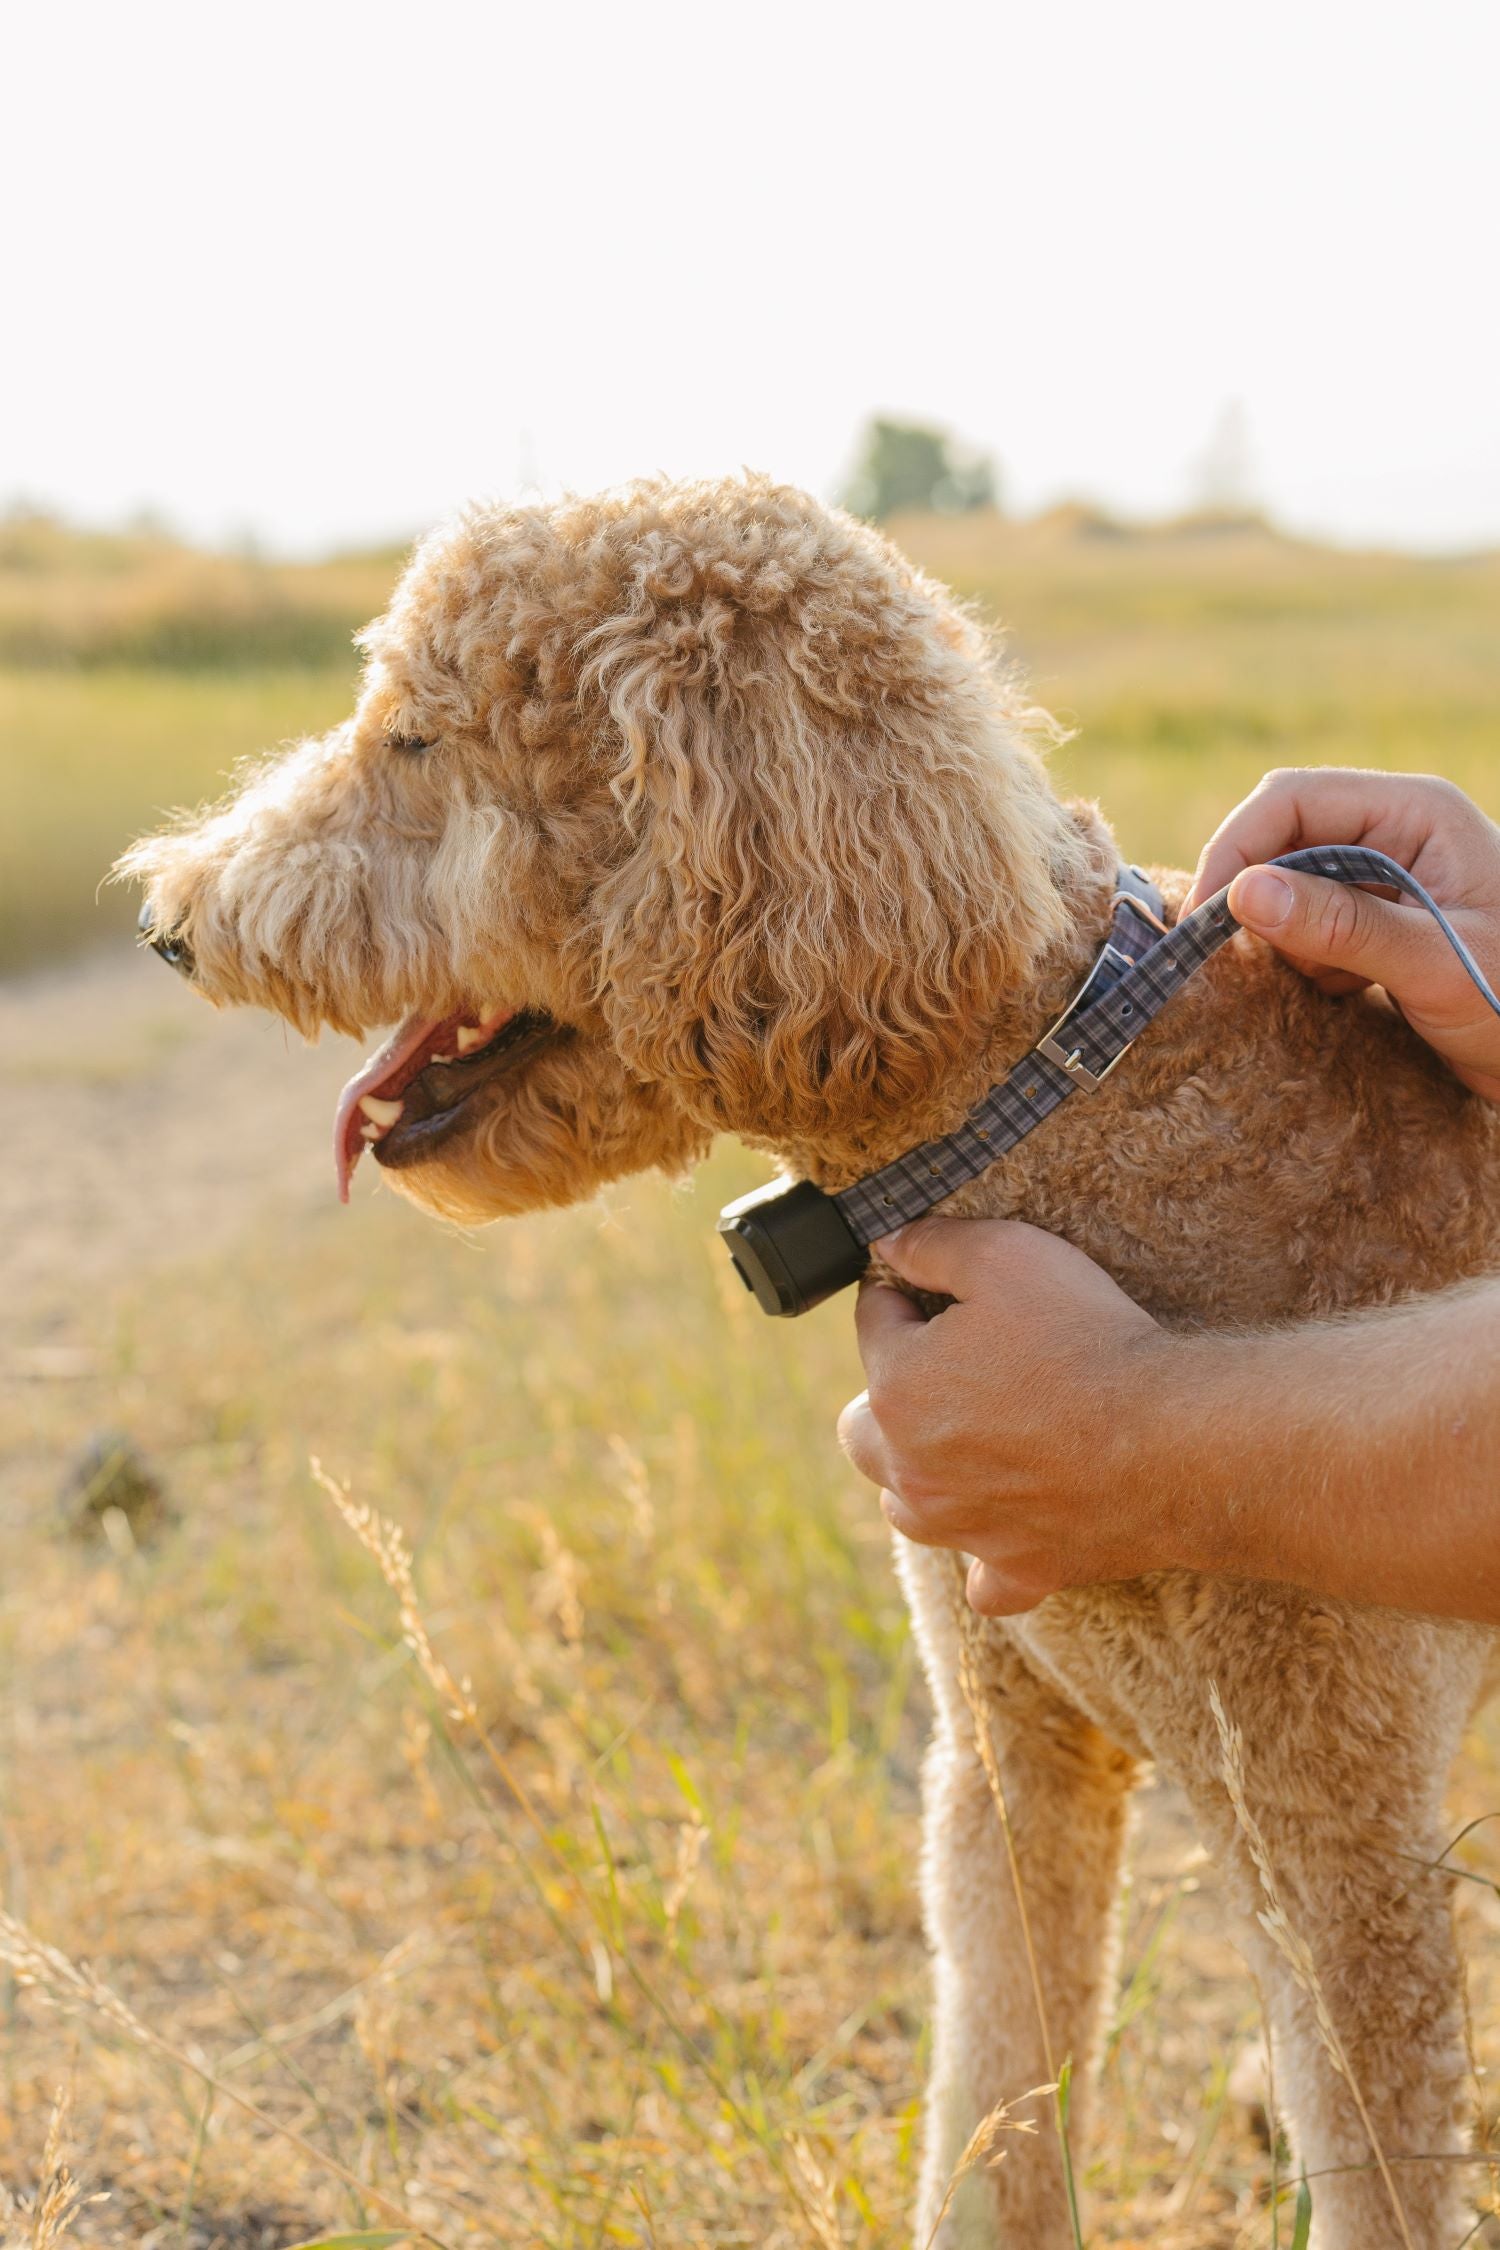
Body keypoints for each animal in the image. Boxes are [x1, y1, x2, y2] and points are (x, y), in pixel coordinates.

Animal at [125, 479, 1500, 2250]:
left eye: (417, 739)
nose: (164, 920)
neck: (1040, 1096)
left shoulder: (1343, 1854)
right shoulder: (1009, 1757)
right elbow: (994, 2111)